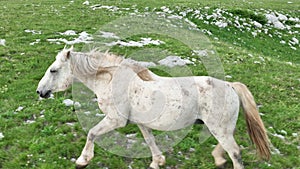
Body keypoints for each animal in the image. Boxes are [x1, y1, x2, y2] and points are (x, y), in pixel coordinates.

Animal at [36, 46, 270, 169]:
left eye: (54, 70)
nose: (40, 92)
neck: (112, 81)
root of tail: (231, 86)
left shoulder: (115, 120)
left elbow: (92, 133)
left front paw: (82, 160)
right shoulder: (141, 123)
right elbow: (150, 140)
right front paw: (157, 162)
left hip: (219, 128)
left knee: (235, 152)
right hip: (221, 128)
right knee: (228, 148)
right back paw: (218, 158)